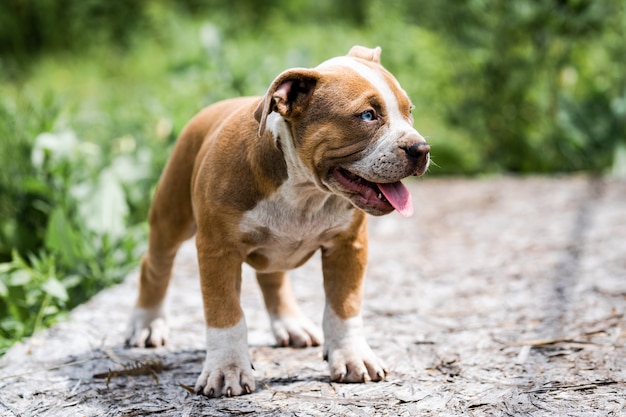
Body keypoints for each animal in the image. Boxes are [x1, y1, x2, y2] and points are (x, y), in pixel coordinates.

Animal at [127, 44, 428, 396]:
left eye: (410, 111)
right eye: (367, 115)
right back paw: (147, 324)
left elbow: (345, 306)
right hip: (170, 216)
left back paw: (291, 325)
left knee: (273, 277)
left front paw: (352, 356)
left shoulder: (348, 246)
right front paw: (226, 369)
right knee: (155, 265)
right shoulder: (218, 251)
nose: (421, 148)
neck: (303, 189)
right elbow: (225, 313)